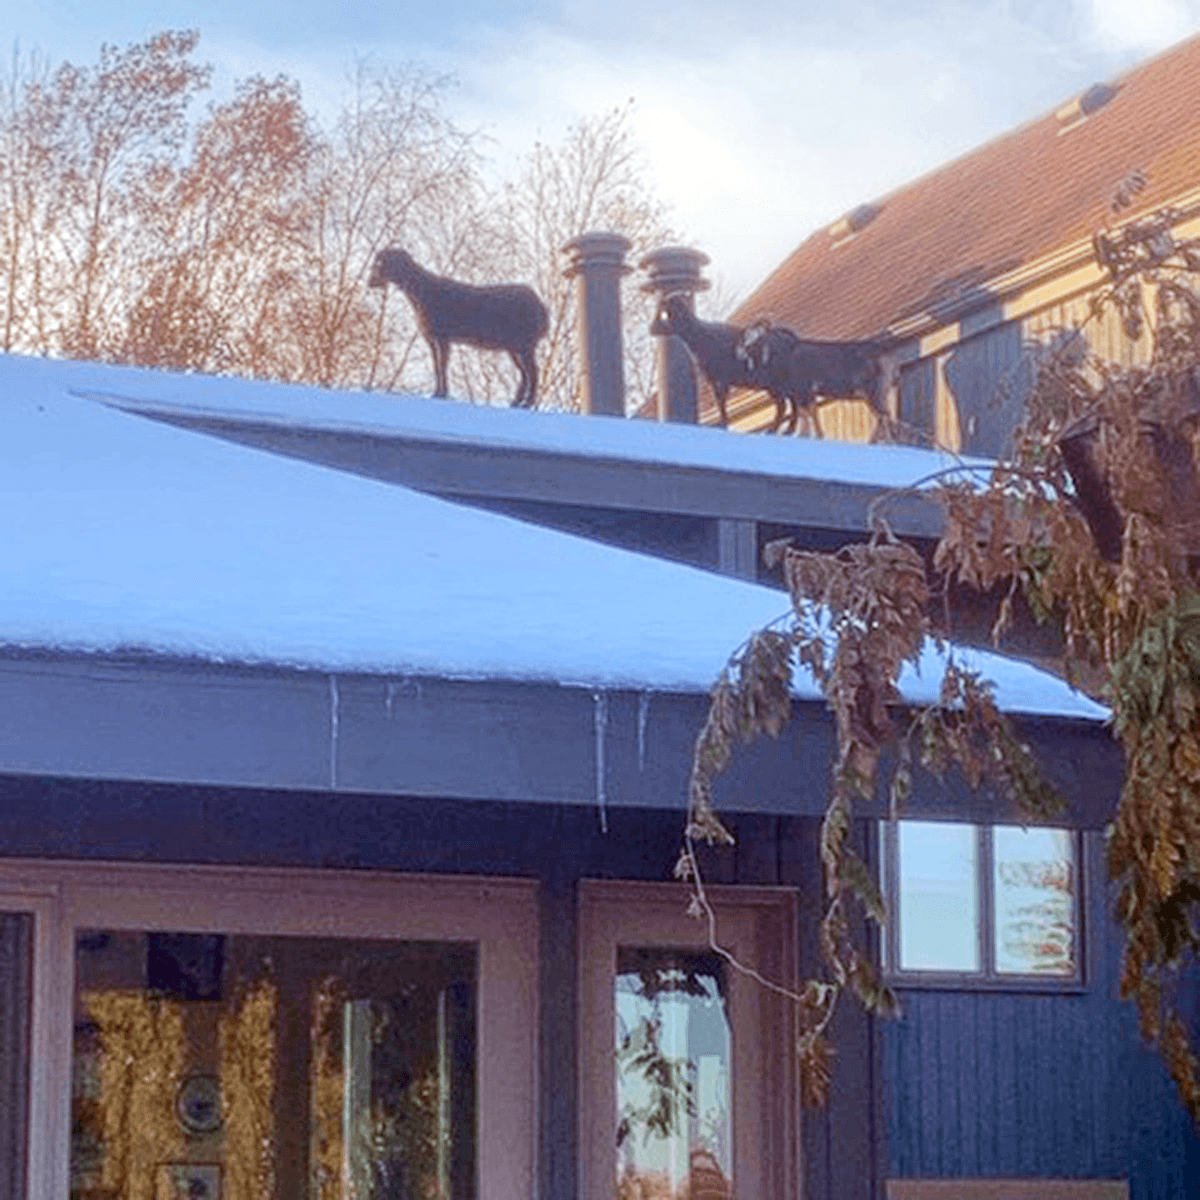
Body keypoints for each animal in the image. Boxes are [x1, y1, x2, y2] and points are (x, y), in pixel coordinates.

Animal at [367, 248, 549, 408]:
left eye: (380, 263)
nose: (370, 282)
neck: (422, 294)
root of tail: (542, 309)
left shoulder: (443, 337)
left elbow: (442, 365)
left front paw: (442, 394)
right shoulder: (431, 338)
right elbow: (437, 366)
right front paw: (436, 393)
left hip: (525, 344)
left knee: (534, 373)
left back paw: (528, 404)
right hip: (514, 347)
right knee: (525, 375)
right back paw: (516, 403)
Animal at [652, 294, 801, 434]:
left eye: (671, 306)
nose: (656, 326)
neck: (700, 335)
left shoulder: (721, 380)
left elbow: (721, 402)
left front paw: (723, 424)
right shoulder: (715, 380)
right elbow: (720, 403)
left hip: (776, 382)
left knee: (785, 404)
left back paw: (778, 429)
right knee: (789, 402)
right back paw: (786, 430)